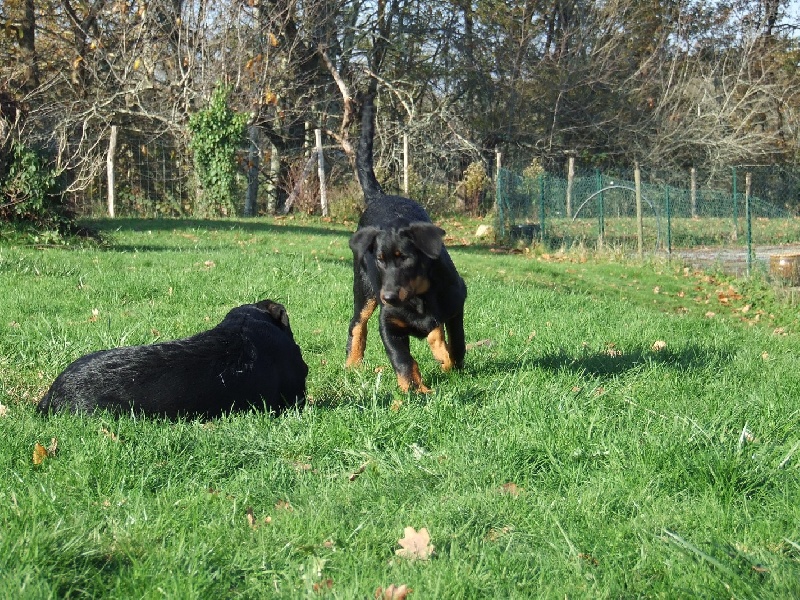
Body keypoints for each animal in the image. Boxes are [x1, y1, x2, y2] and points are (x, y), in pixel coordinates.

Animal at [346, 92, 468, 394]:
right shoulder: (388, 323)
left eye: (406, 259)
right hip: (364, 290)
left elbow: (456, 343)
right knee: (357, 324)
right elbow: (402, 359)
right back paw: (352, 363)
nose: (388, 297)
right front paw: (412, 389)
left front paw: (449, 362)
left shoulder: (455, 304)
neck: (418, 297)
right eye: (379, 260)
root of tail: (380, 196)